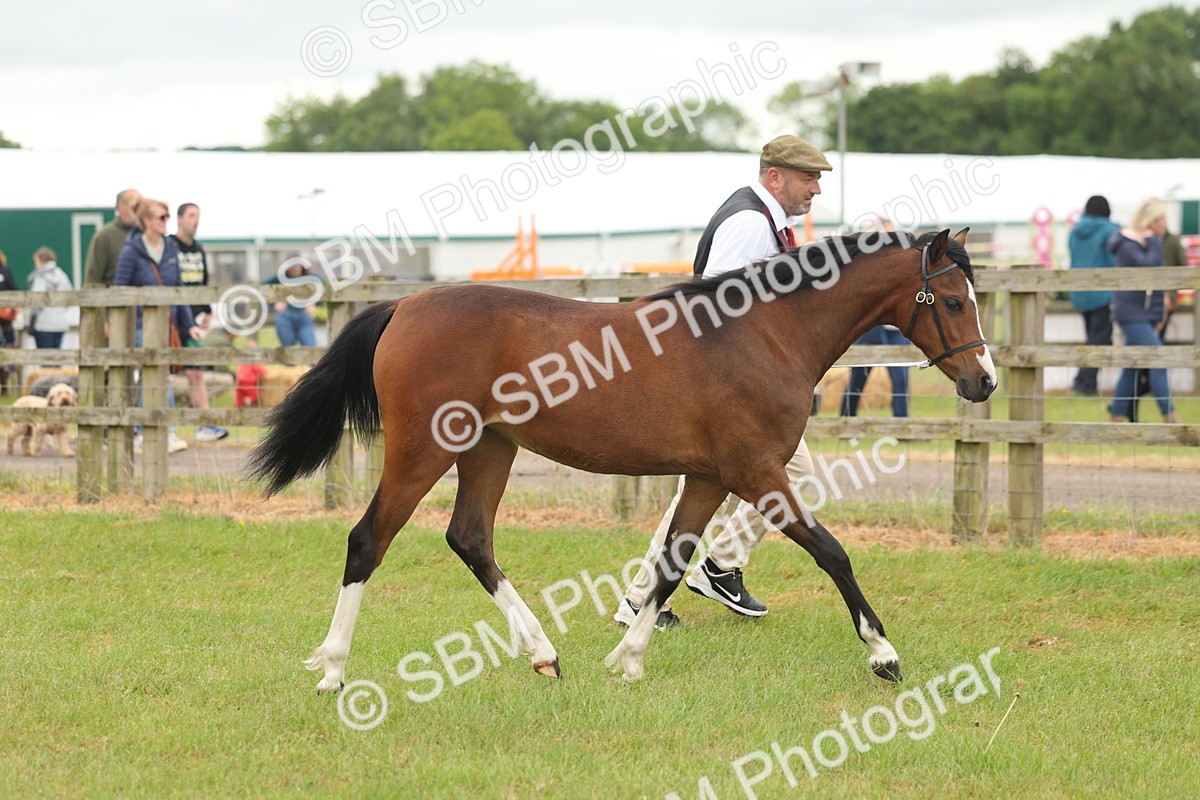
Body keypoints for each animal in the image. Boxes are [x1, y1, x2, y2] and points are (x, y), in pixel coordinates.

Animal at [247, 228, 995, 691]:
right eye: (953, 300)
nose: (984, 382)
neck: (764, 334)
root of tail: (403, 305)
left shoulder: (709, 478)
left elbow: (671, 562)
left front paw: (628, 658)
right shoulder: (758, 474)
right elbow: (833, 553)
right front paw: (884, 655)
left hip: (490, 449)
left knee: (470, 538)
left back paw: (545, 654)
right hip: (423, 449)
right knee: (367, 540)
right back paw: (333, 670)